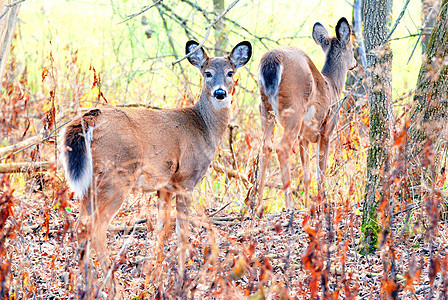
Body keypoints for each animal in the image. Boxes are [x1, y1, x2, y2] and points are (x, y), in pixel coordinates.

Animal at [58, 39, 252, 296]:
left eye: (230, 72)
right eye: (207, 73)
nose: (220, 93)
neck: (204, 128)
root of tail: (88, 120)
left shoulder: (165, 185)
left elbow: (162, 228)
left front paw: (153, 278)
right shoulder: (186, 179)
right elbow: (182, 231)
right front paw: (180, 280)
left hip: (90, 181)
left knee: (80, 225)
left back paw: (88, 287)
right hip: (117, 175)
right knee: (95, 227)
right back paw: (112, 288)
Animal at [256, 17, 356, 210]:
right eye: (352, 47)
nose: (355, 63)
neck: (333, 85)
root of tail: (271, 61)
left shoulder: (304, 137)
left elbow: (307, 175)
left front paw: (309, 205)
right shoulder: (327, 129)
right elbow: (320, 172)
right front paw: (322, 203)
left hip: (265, 108)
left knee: (265, 146)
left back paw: (256, 205)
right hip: (293, 108)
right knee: (281, 148)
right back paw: (289, 205)